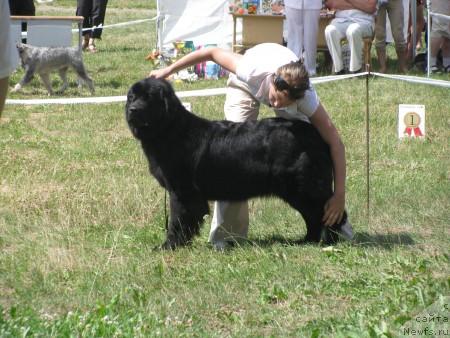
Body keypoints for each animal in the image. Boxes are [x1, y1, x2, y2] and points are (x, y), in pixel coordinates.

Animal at [125, 78, 350, 248]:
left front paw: (169, 245)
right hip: (296, 191)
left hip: (303, 186)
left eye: (149, 97)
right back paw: (308, 240)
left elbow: (177, 220)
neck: (170, 130)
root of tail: (315, 134)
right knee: (314, 216)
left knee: (330, 212)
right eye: (132, 97)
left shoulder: (182, 192)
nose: (133, 110)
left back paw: (328, 241)